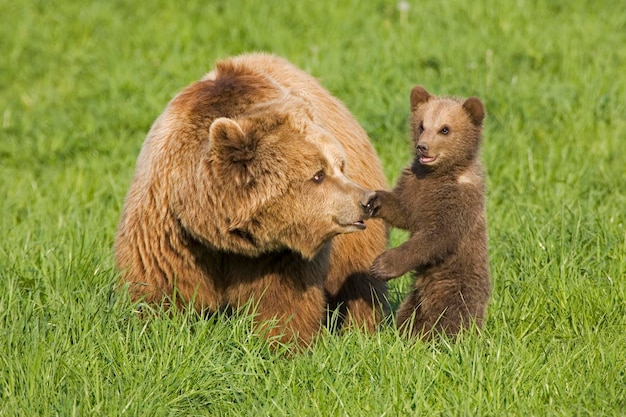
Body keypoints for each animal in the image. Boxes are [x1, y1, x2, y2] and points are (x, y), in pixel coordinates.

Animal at [112, 52, 386, 344]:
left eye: (339, 166)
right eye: (318, 175)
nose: (366, 200)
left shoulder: (277, 254)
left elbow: (281, 301)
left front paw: (284, 341)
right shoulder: (170, 232)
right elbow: (160, 288)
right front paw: (155, 328)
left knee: (358, 283)